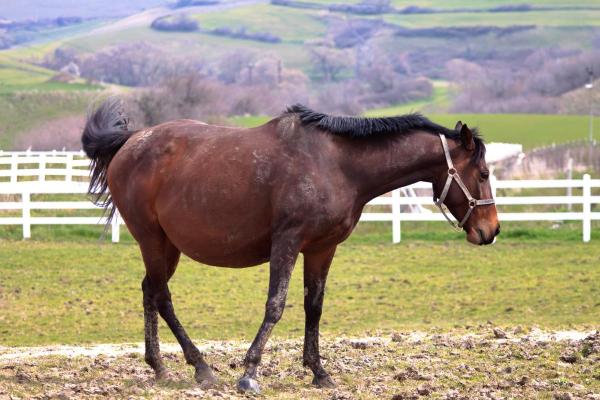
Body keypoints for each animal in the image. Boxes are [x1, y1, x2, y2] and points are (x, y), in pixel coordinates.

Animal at [82, 98, 500, 392]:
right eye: (482, 173)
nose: (491, 230)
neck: (337, 165)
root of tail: (131, 141)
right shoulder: (286, 243)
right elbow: (276, 305)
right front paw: (250, 372)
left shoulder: (321, 249)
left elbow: (313, 307)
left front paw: (319, 371)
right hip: (151, 239)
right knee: (162, 296)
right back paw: (197, 366)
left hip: (168, 245)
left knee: (150, 292)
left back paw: (161, 366)